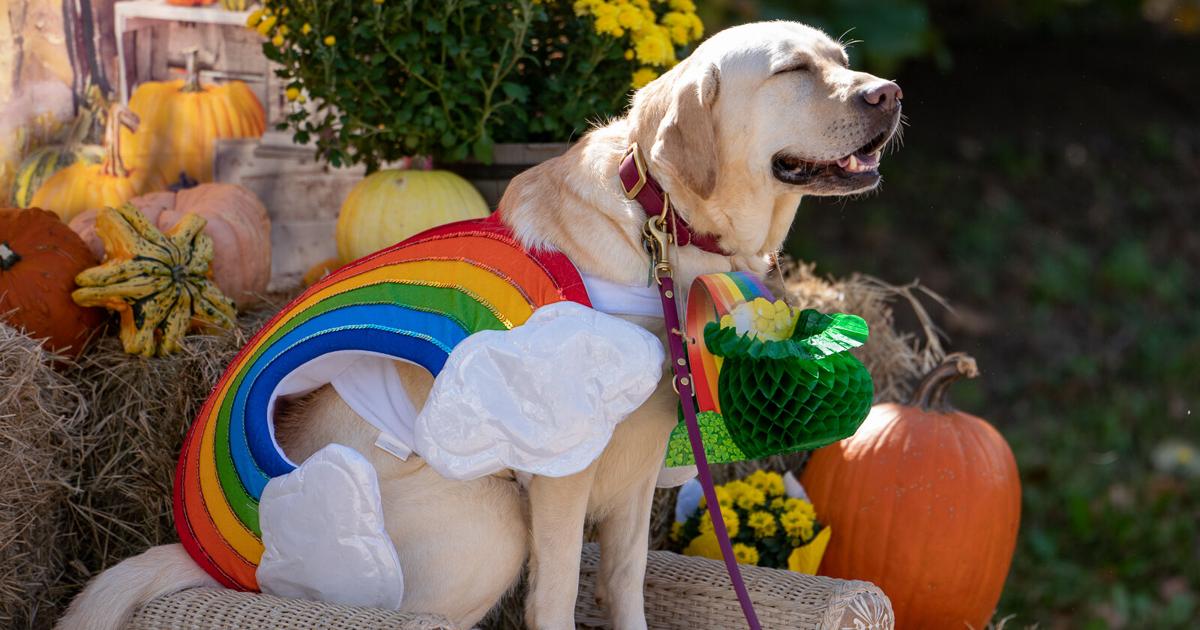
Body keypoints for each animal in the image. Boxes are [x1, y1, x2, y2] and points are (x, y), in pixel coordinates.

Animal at [56, 19, 902, 628]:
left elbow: (624, 585)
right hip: (491, 520)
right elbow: (555, 597)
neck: (662, 225)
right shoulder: (561, 477)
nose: (889, 93)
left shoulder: (637, 476)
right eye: (793, 71)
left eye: (840, 59)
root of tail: (215, 565)